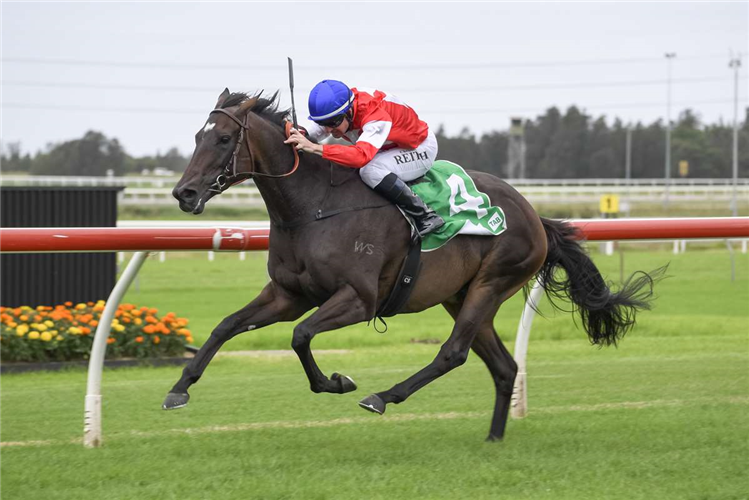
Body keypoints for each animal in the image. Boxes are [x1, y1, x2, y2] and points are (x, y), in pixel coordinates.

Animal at [165, 90, 660, 442]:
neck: (313, 207)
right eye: (197, 137)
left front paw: (337, 382)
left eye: (223, 139)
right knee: (503, 367)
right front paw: (179, 388)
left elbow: (300, 335)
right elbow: (226, 326)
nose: (183, 194)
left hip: (492, 282)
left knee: (453, 353)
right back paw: (494, 438)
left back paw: (383, 397)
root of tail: (534, 215)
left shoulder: (358, 299)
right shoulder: (288, 295)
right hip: (462, 295)